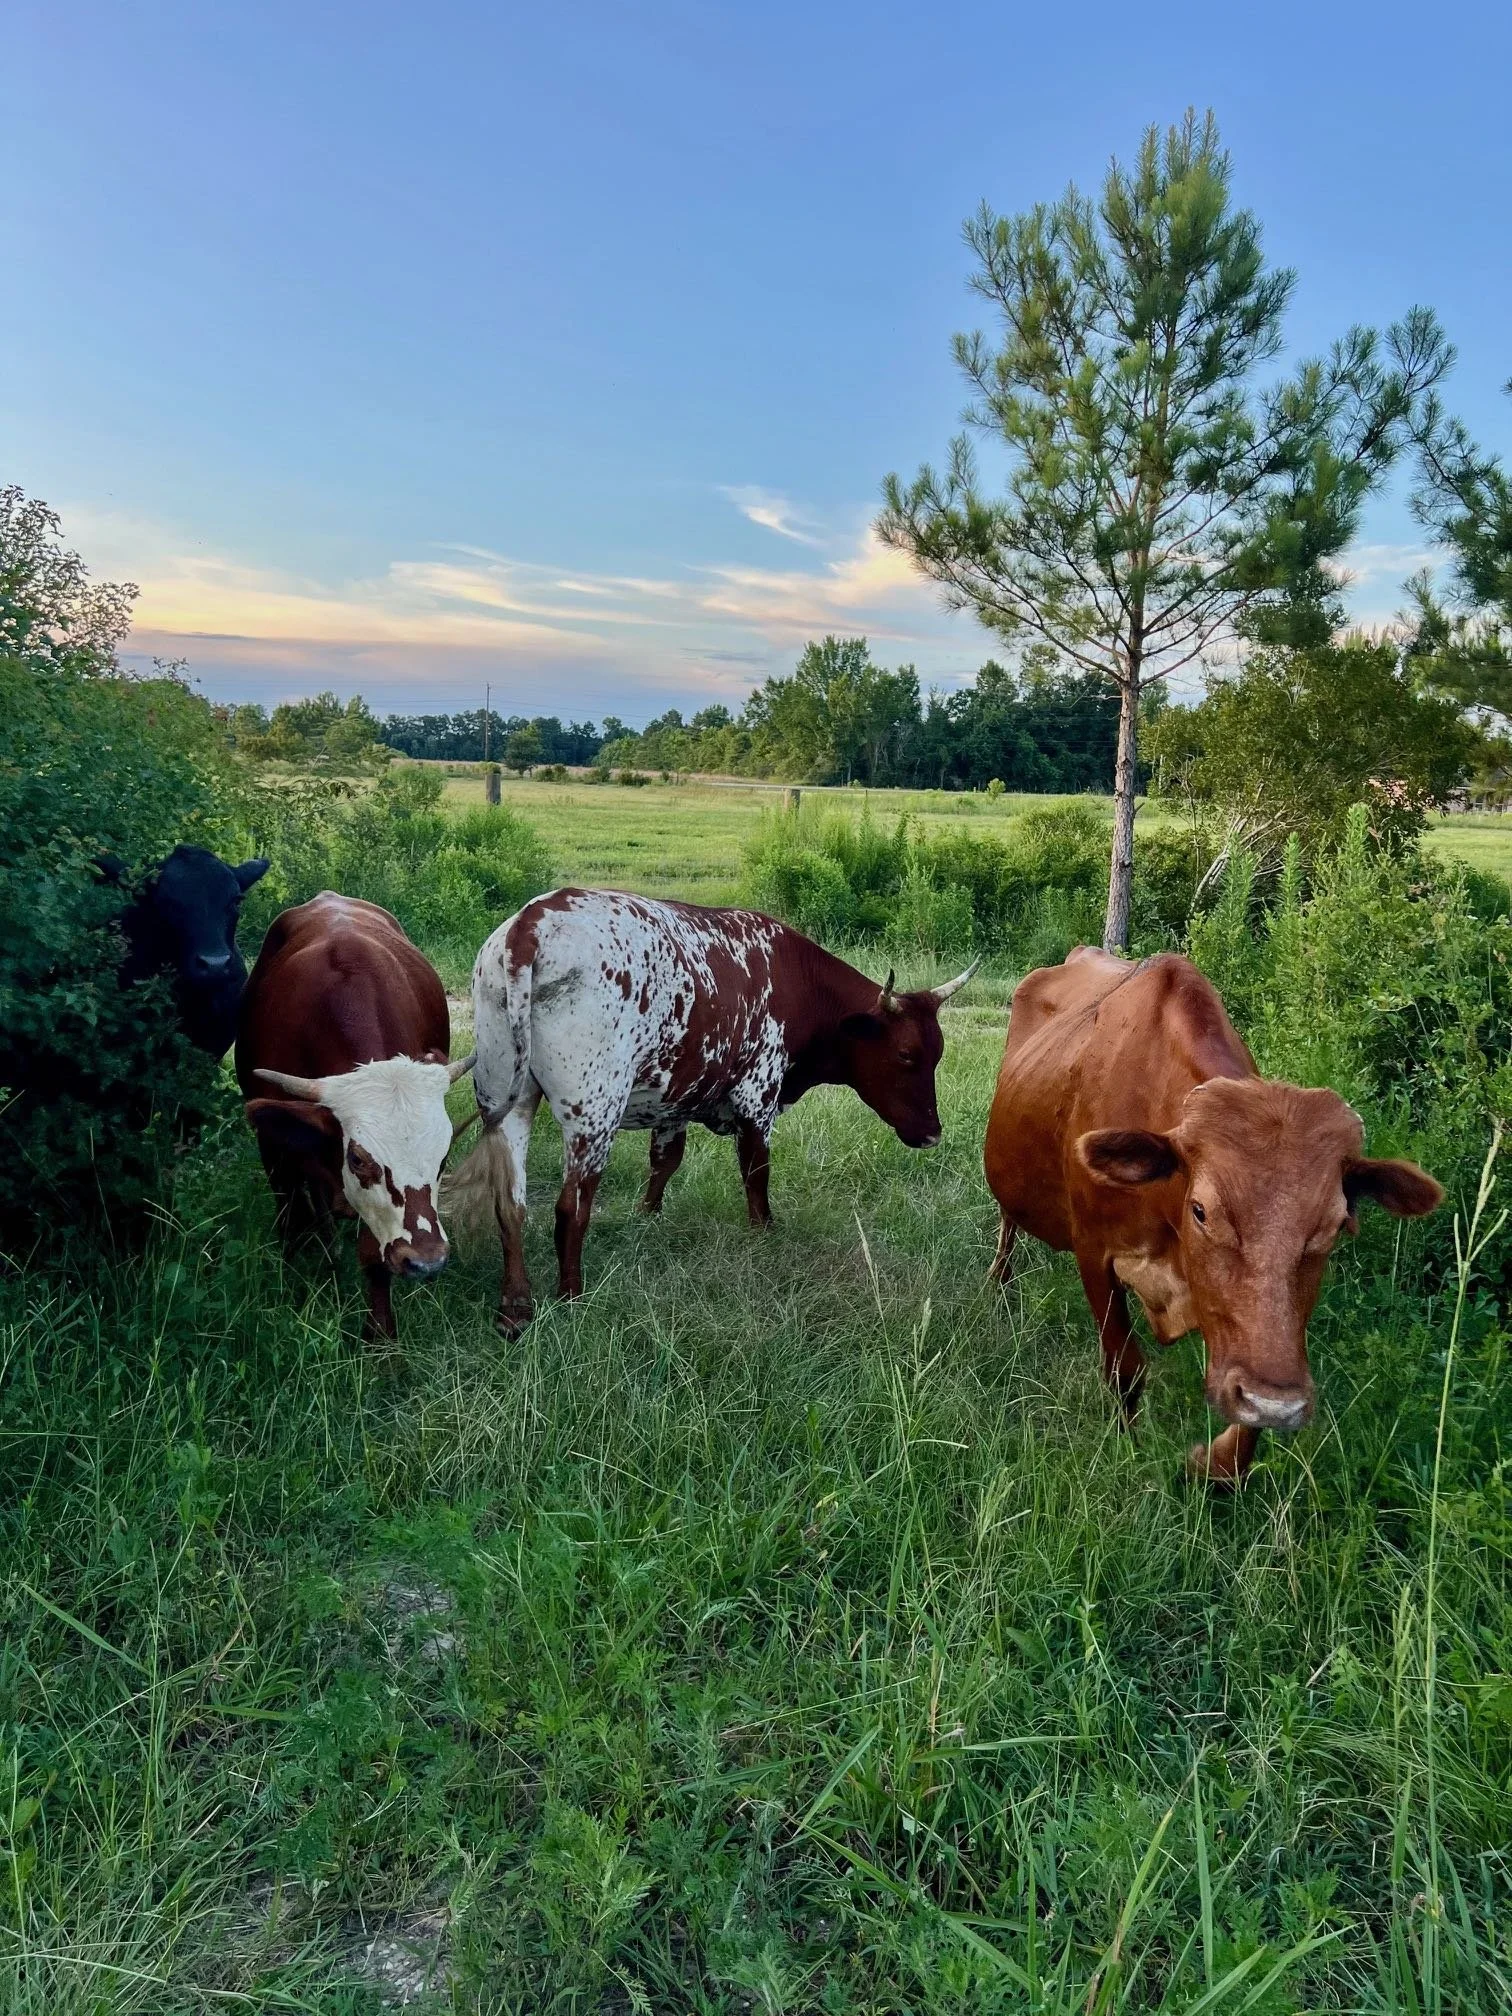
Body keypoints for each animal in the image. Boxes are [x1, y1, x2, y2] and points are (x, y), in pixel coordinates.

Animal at [235, 893, 474, 1339]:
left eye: (443, 1157)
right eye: (358, 1159)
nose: (426, 1261)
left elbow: (372, 1252)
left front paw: (380, 1331)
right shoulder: (273, 1146)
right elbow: (290, 1214)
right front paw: (293, 1280)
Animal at [447, 886, 978, 1332]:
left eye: (938, 1053)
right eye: (906, 1055)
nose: (932, 1132)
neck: (796, 979)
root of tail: (531, 925)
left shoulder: (674, 1104)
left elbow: (664, 1163)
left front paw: (647, 1218)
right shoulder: (757, 1098)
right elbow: (756, 1173)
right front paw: (763, 1233)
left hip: (507, 1100)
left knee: (510, 1204)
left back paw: (515, 1306)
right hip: (593, 1112)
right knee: (570, 1208)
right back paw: (571, 1295)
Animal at [983, 948, 1443, 1486]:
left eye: (1335, 1227)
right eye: (1201, 1211)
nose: (1279, 1405)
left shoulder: (1250, 1337)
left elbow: (1244, 1419)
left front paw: (1214, 1461)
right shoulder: (1094, 1252)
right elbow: (1125, 1368)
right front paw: (1128, 1447)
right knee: (1008, 1223)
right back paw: (998, 1281)